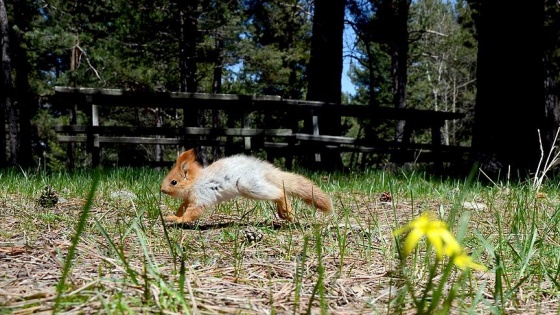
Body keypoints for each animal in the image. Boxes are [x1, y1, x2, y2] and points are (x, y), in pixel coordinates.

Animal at [160, 149, 330, 223]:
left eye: (174, 182)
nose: (162, 190)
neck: (195, 182)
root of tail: (262, 170)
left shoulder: (202, 195)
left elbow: (192, 213)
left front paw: (177, 220)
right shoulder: (189, 198)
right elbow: (183, 206)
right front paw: (175, 214)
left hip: (249, 186)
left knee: (279, 192)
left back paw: (286, 211)